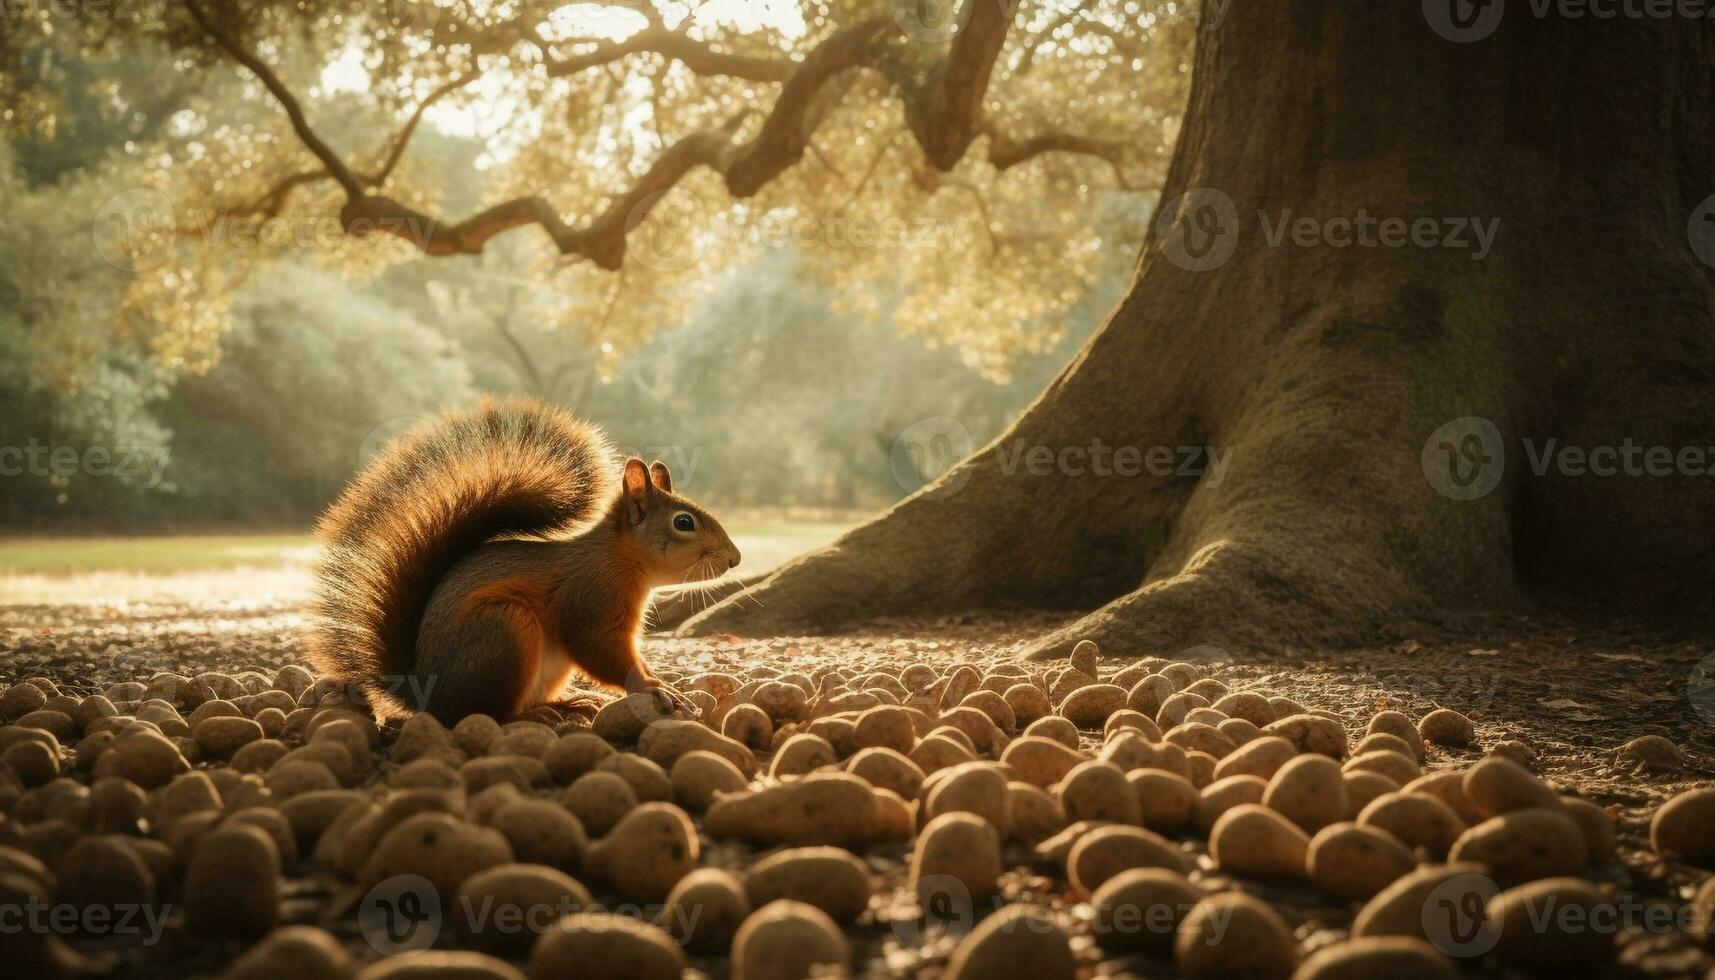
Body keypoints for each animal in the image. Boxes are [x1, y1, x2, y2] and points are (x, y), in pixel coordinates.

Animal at [308, 394, 737, 724]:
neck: (618, 559)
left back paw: (566, 704)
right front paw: (652, 687)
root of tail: (427, 696)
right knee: (487, 715)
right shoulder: (591, 602)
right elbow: (600, 652)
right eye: (684, 522)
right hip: (506, 630)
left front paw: (659, 681)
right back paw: (536, 714)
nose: (735, 558)